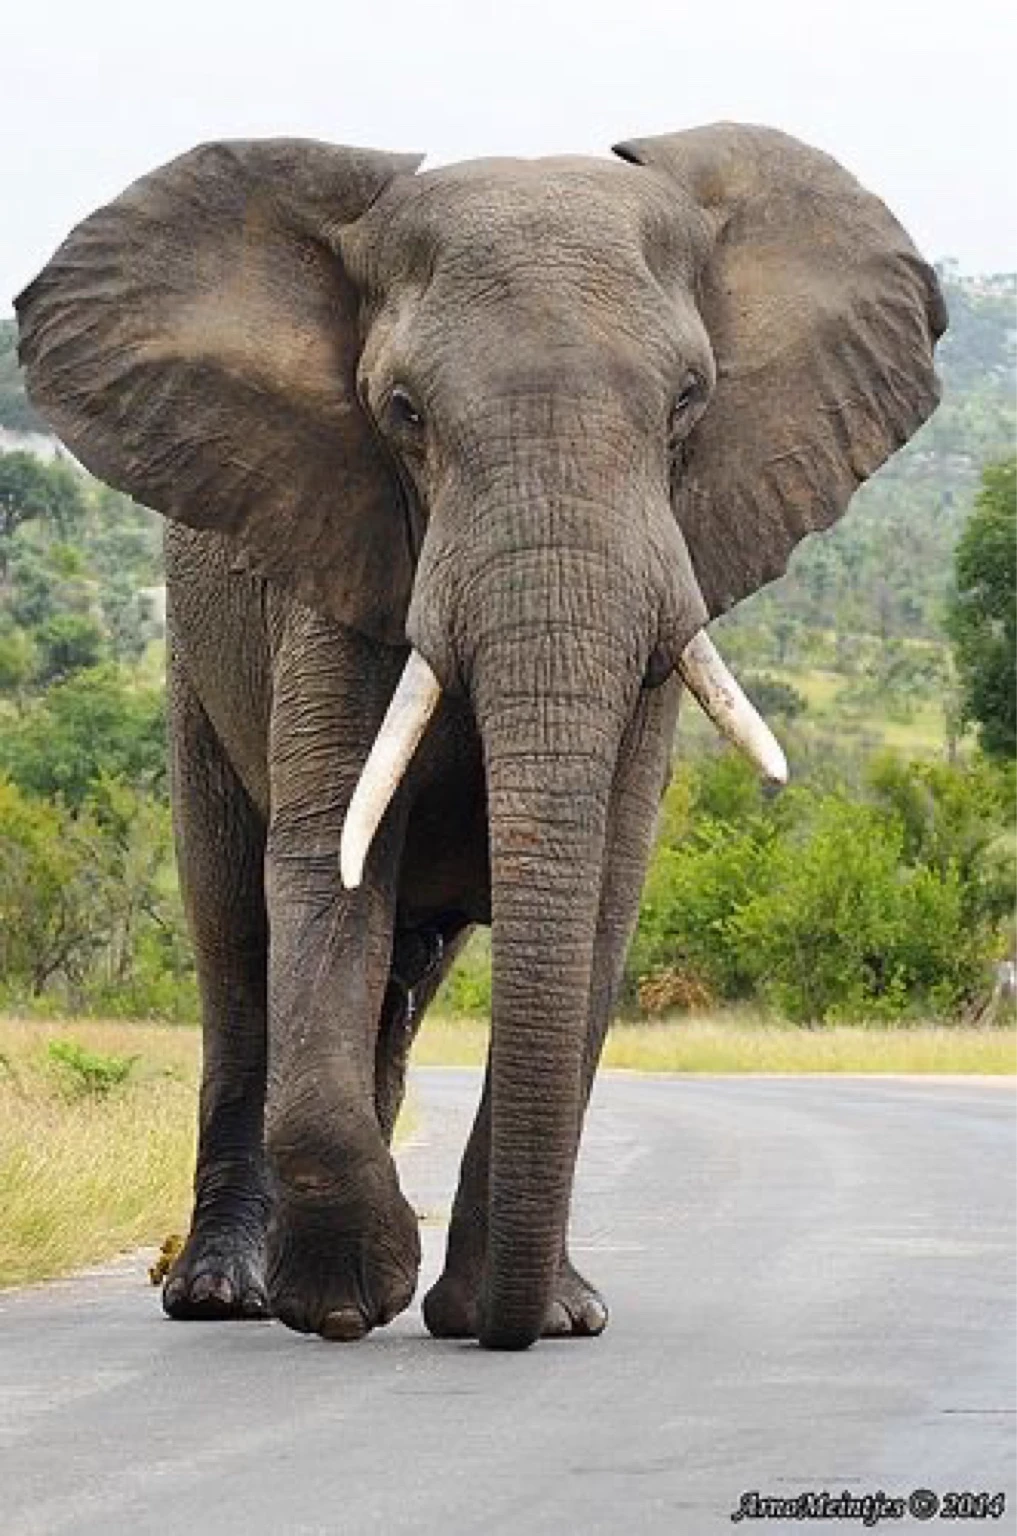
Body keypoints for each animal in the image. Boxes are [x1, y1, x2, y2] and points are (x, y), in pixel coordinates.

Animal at [15, 124, 945, 1350]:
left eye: (689, 401)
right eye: (403, 411)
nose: (497, 1327)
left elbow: (601, 899)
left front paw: (531, 1315)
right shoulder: (333, 560)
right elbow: (324, 868)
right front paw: (349, 1303)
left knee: (399, 982)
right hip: (191, 677)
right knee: (239, 953)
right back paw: (224, 1296)